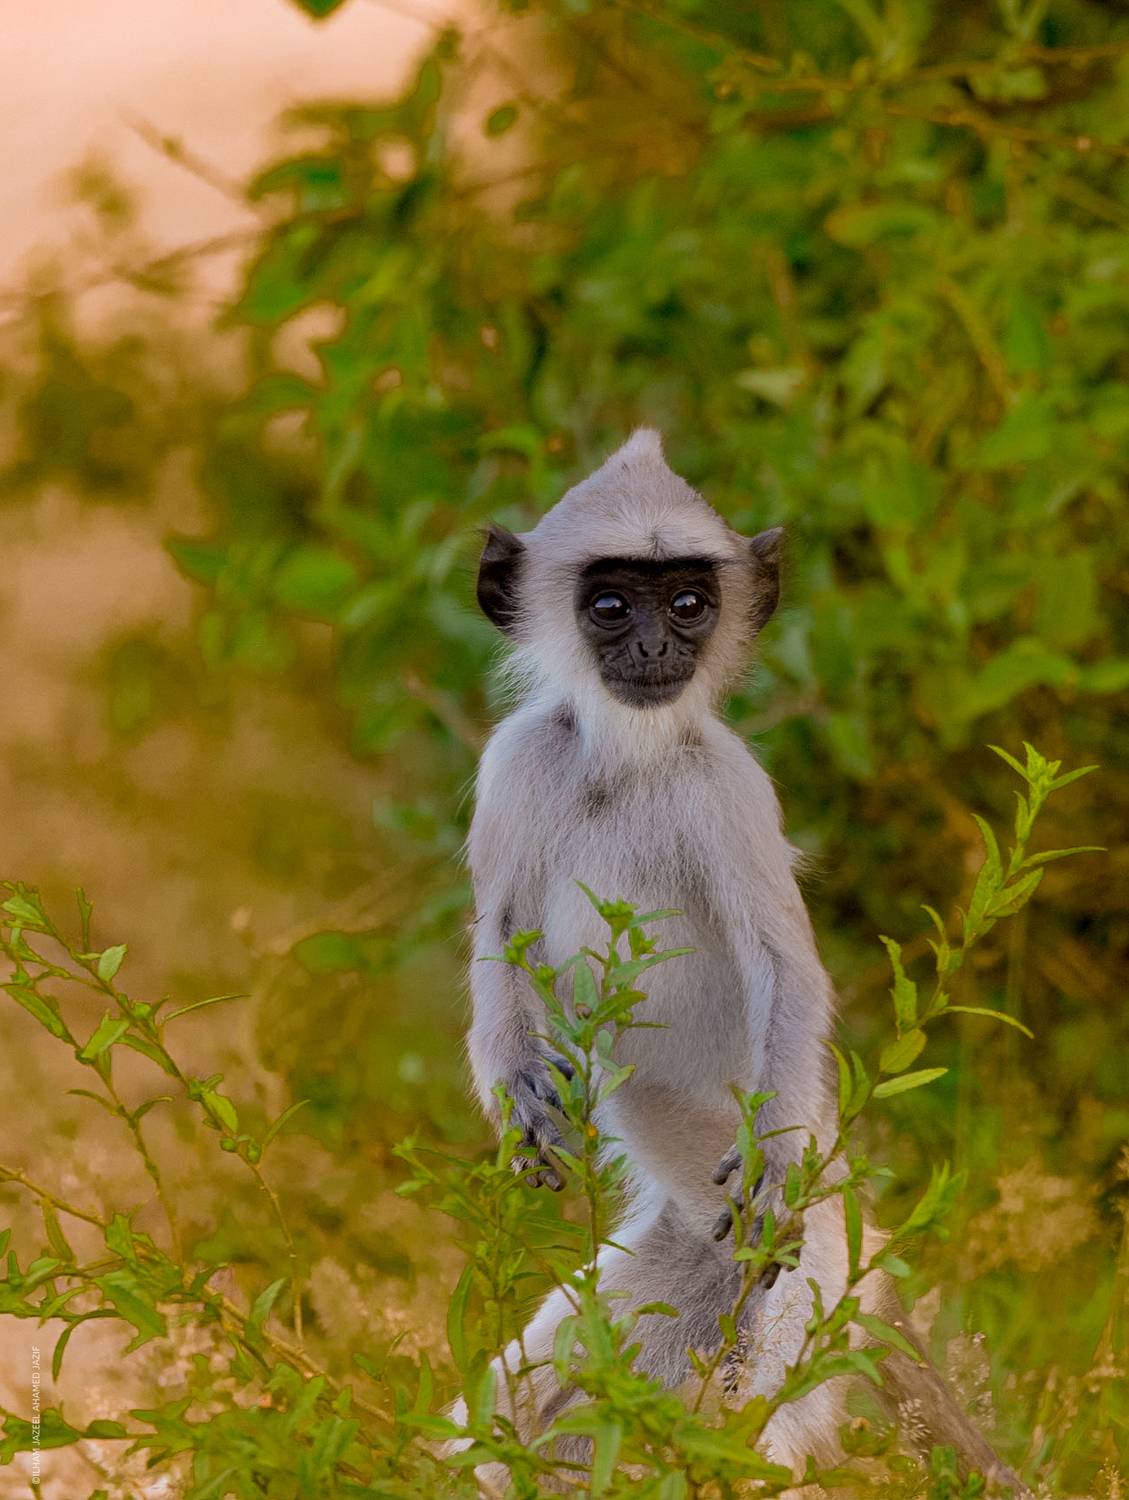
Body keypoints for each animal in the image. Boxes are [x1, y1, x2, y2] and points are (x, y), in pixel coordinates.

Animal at [458, 429, 1024, 1490]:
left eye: (688, 602)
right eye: (611, 604)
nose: (656, 650)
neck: (626, 763)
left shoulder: (726, 787)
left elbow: (786, 969)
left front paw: (772, 1158)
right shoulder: (516, 760)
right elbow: (497, 940)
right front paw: (517, 1095)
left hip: (806, 1275)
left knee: (744, 1430)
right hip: (677, 1269)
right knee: (512, 1419)